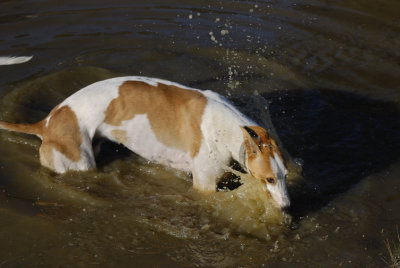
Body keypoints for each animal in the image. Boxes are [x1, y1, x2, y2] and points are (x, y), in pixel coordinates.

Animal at [0, 61, 290, 211]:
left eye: (286, 175)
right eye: (269, 179)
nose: (287, 207)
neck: (226, 125)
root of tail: (47, 123)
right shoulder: (204, 186)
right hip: (77, 162)